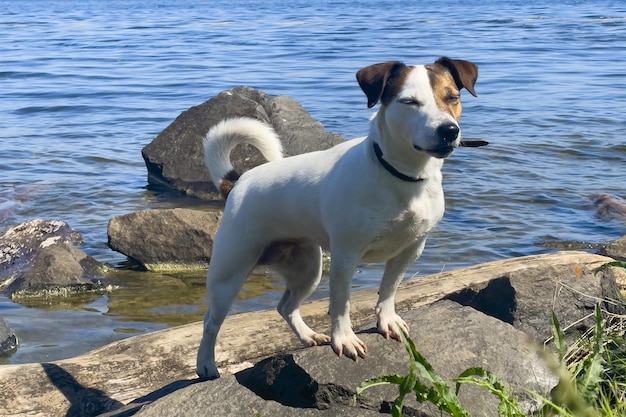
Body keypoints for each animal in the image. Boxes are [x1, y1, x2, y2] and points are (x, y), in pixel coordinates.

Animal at [197, 57, 476, 378]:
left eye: (452, 97)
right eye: (409, 102)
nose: (448, 130)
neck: (401, 176)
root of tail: (238, 180)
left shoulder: (411, 249)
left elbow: (389, 289)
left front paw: (387, 320)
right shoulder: (346, 255)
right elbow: (341, 304)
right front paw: (344, 339)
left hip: (307, 268)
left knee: (286, 306)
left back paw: (307, 335)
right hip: (230, 273)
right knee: (211, 321)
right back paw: (205, 364)